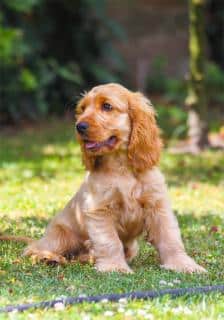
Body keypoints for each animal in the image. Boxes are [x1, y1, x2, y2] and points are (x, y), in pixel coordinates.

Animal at [0, 84, 206, 274]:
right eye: (82, 109)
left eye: (107, 106)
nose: (79, 127)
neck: (121, 167)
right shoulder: (99, 210)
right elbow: (109, 242)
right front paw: (114, 267)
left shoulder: (157, 206)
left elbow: (170, 238)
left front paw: (184, 265)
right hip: (60, 234)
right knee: (33, 248)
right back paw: (49, 258)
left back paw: (87, 256)